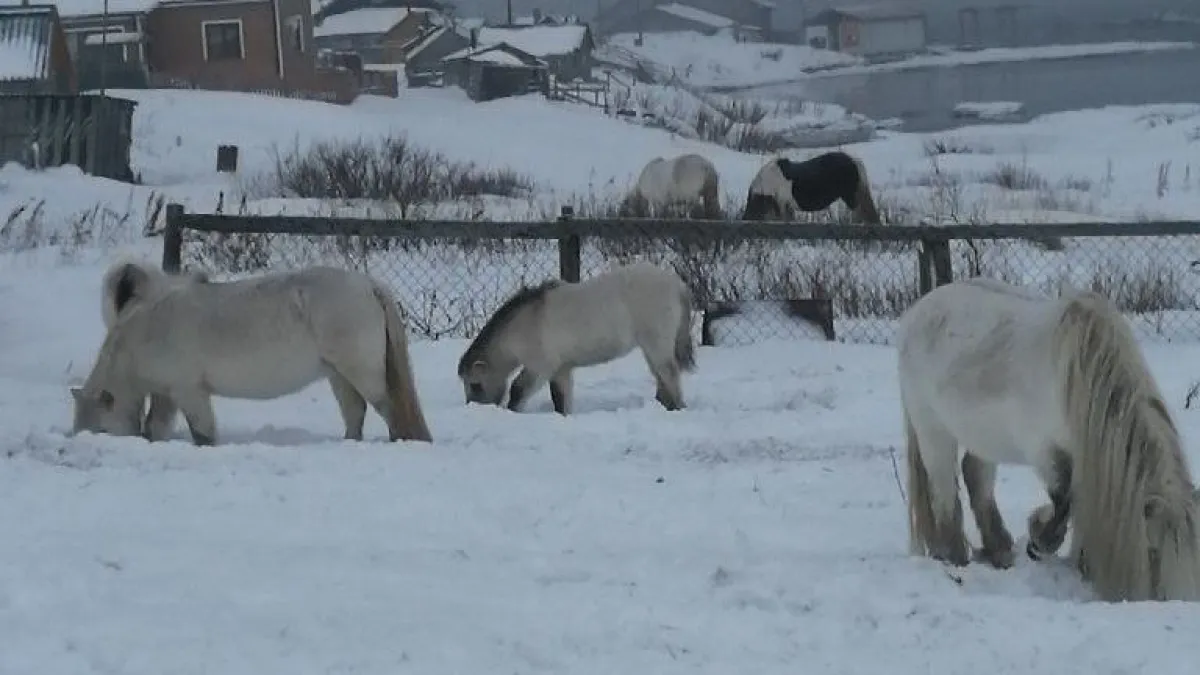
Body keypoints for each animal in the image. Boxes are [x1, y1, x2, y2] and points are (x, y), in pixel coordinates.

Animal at [72, 265, 434, 444]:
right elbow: (155, 427)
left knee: (388, 408)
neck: (145, 329)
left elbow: (203, 433)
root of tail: (369, 284)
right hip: (338, 374)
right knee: (354, 413)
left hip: (361, 371)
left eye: (99, 429)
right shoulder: (166, 393)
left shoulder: (189, 391)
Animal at [458, 260, 700, 413]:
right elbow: (560, 399)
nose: (473, 408)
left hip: (657, 343)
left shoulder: (541, 367)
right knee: (661, 376)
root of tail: (677, 284)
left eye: (475, 384)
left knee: (669, 374)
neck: (526, 322)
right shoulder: (561, 368)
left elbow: (518, 391)